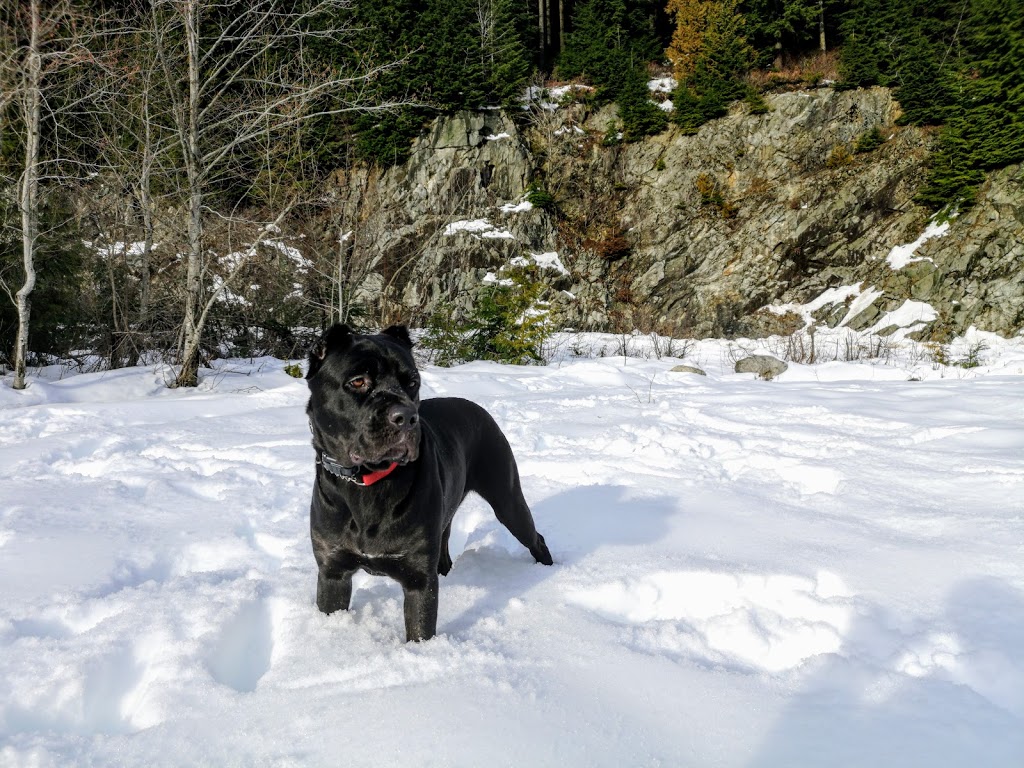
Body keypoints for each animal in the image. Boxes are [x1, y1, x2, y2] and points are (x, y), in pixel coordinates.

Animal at [303, 325, 552, 643]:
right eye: (358, 381)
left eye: (412, 382)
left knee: (536, 538)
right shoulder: (332, 570)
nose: (406, 416)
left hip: (507, 499)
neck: (365, 484)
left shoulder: (418, 577)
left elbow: (420, 630)